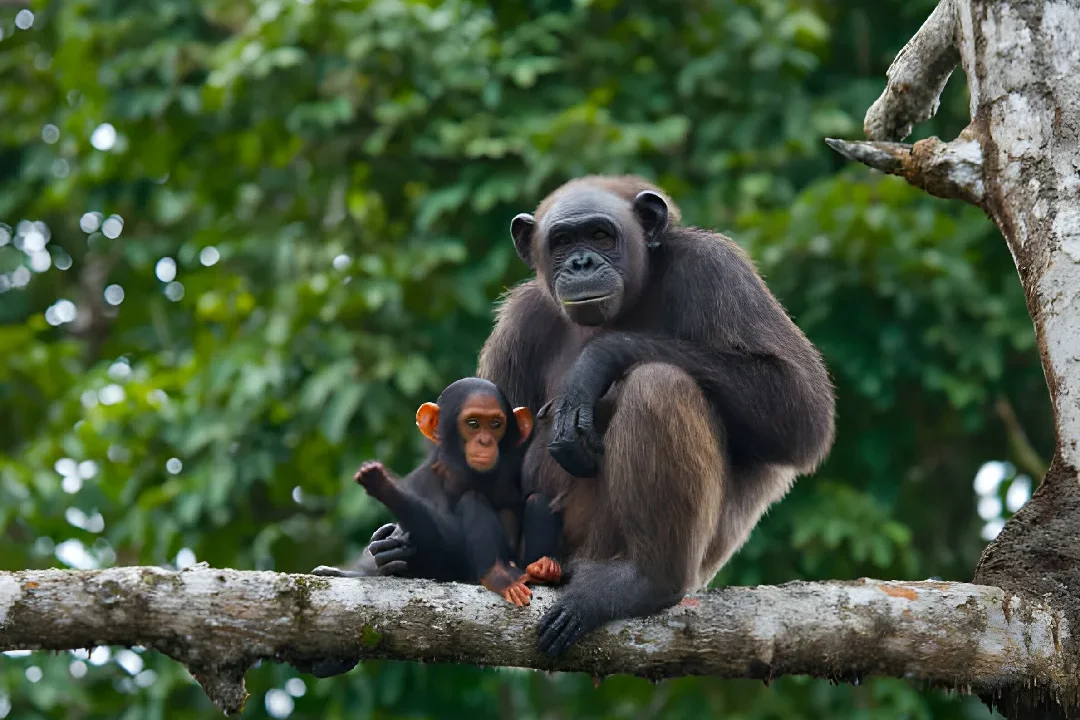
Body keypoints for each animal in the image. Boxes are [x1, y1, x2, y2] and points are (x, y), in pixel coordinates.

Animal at [354, 175, 833, 660]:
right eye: (563, 241)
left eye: (601, 234)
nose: (582, 262)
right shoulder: (519, 321)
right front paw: (400, 547)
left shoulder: (716, 268)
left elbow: (799, 406)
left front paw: (594, 363)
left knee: (658, 384)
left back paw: (644, 581)